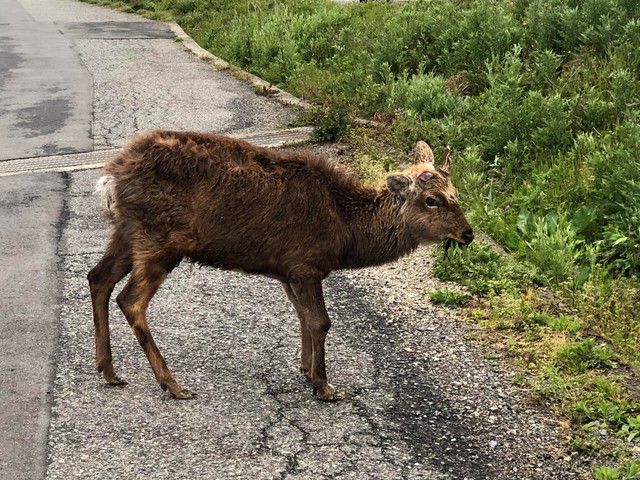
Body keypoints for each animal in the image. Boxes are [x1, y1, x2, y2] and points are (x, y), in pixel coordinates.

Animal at [87, 130, 472, 402]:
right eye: (432, 200)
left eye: (456, 194)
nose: (467, 233)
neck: (345, 232)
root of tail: (111, 179)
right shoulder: (305, 262)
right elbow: (320, 321)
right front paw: (325, 385)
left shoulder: (287, 269)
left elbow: (303, 317)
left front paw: (306, 370)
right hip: (161, 237)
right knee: (130, 300)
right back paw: (172, 383)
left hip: (127, 230)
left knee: (98, 277)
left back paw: (108, 369)